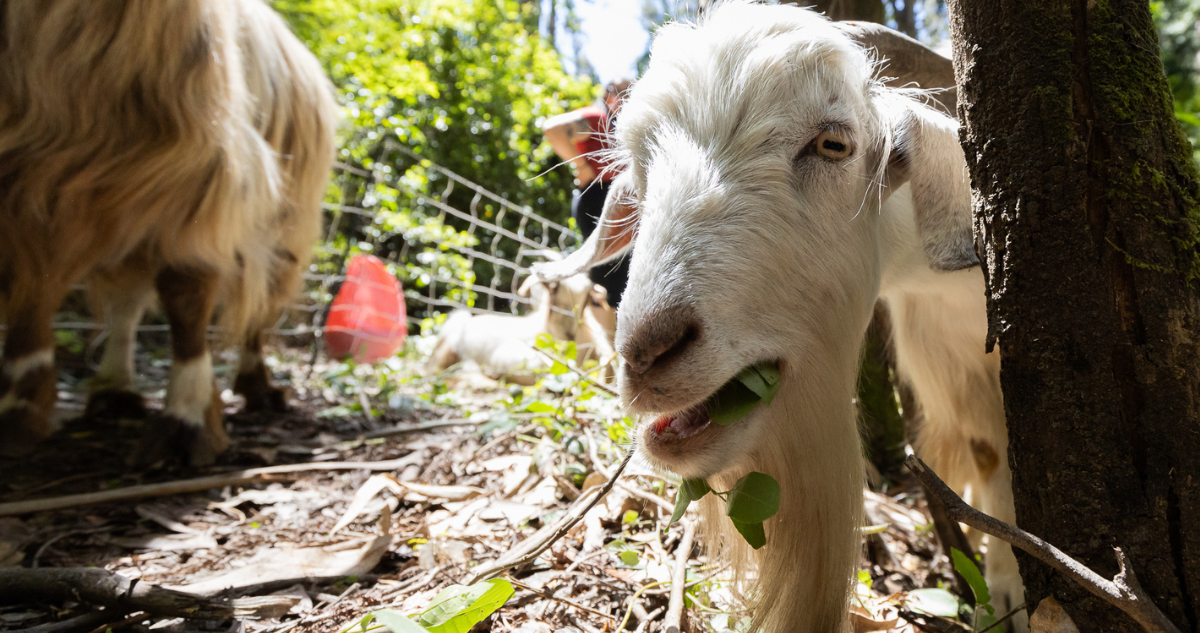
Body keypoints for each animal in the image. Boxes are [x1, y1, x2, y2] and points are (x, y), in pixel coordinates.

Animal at [0, 0, 336, 465]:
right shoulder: (29, 193)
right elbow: (29, 296)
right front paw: (19, 407)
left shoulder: (199, 180)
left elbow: (186, 294)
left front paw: (186, 421)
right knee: (127, 302)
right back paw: (114, 392)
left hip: (285, 225)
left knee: (260, 307)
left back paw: (259, 388)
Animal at [534, 4, 1023, 631]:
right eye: (639, 171)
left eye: (834, 144)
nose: (647, 354)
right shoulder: (945, 350)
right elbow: (989, 451)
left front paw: (1010, 590)